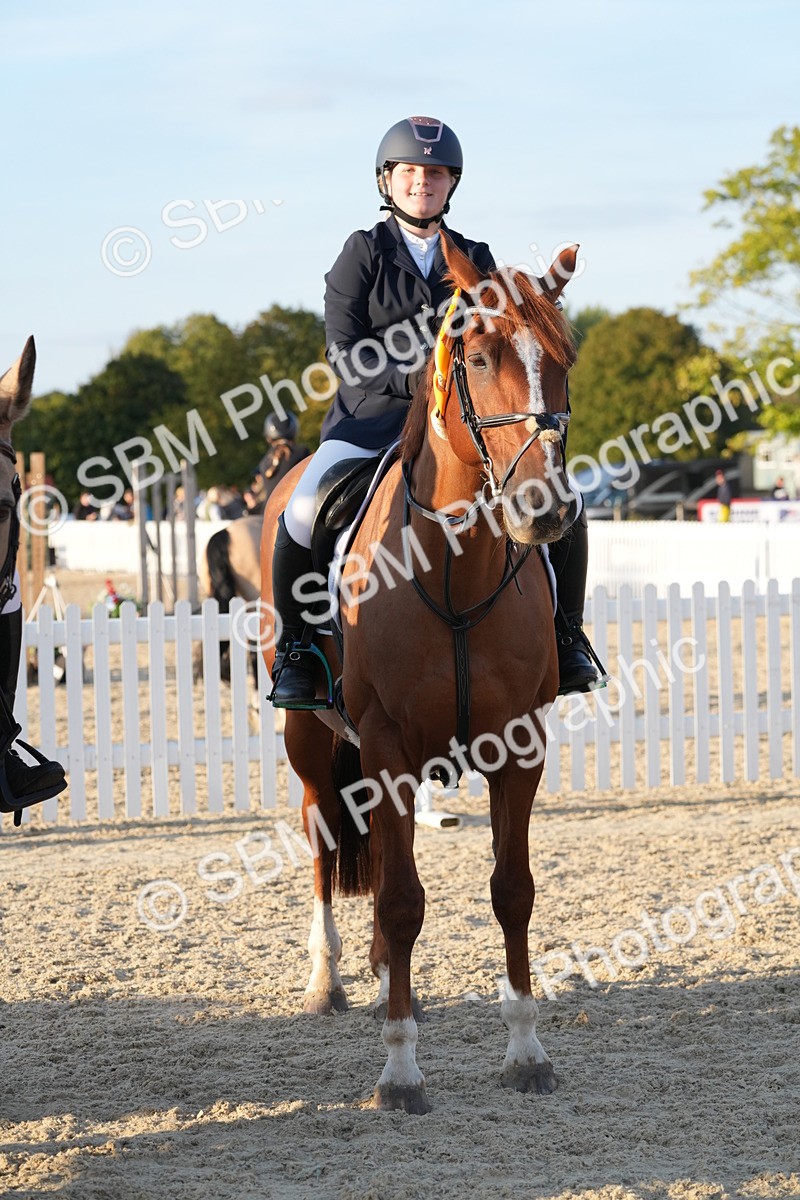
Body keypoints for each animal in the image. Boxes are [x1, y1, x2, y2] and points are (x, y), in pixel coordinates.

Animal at [259, 234, 579, 1113]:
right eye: (480, 354)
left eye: (564, 359)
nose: (545, 511)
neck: (455, 567)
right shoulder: (387, 745)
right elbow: (402, 900)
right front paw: (400, 1072)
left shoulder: (519, 746)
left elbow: (513, 890)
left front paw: (526, 1052)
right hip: (312, 741)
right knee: (324, 841)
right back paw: (328, 981)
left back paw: (377, 985)